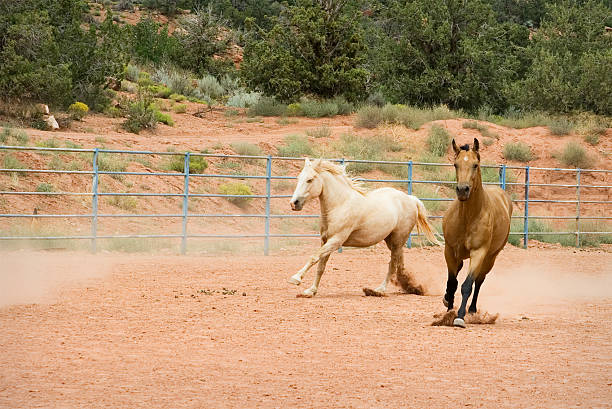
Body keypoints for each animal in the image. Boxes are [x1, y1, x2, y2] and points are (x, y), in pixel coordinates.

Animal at [288, 157, 438, 296]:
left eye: (309, 180)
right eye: (299, 178)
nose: (294, 203)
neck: (340, 204)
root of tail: (411, 199)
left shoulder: (336, 241)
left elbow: (314, 257)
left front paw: (295, 278)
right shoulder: (325, 240)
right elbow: (321, 266)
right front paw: (311, 291)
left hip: (397, 240)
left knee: (392, 264)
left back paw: (379, 290)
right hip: (392, 241)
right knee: (399, 264)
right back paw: (409, 286)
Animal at [444, 139, 512, 326]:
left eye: (475, 165)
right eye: (455, 164)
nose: (462, 190)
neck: (468, 217)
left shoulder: (478, 253)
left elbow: (467, 285)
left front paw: (459, 316)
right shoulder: (449, 250)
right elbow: (452, 282)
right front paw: (448, 306)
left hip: (490, 257)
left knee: (479, 281)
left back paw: (473, 309)